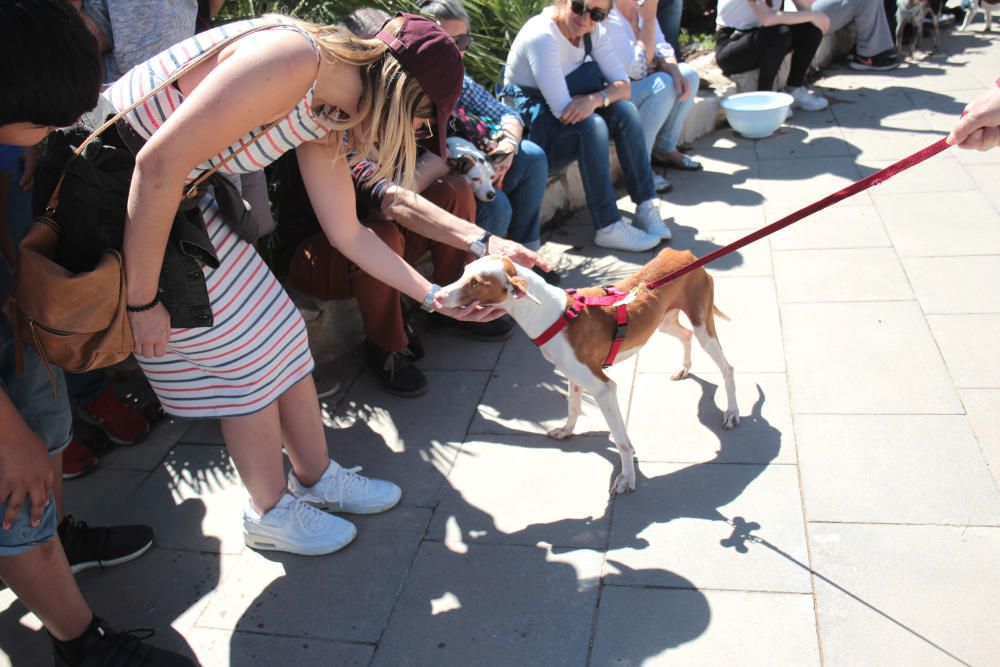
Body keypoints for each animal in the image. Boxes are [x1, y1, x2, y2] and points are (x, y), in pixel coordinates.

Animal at [440, 250, 744, 496]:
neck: (553, 314)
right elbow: (573, 408)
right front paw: (566, 431)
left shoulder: (603, 388)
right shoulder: (574, 375)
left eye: (476, 283)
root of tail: (686, 254)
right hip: (665, 322)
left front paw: (627, 478)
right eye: (464, 272)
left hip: (703, 325)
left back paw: (732, 412)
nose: (439, 296)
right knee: (685, 335)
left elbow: (622, 442)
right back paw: (684, 367)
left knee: (727, 368)